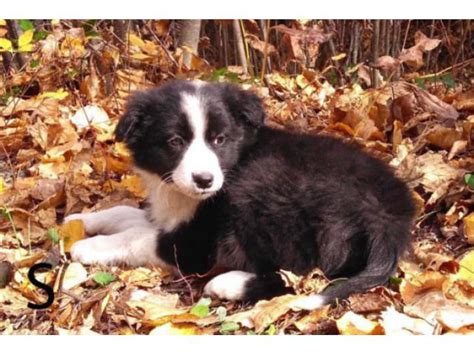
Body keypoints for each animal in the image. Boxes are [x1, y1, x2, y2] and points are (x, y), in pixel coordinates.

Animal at [66, 80, 414, 306]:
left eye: (219, 139)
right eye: (175, 142)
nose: (204, 180)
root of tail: (390, 221)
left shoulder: (197, 244)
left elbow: (137, 237)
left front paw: (89, 247)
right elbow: (126, 213)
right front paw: (78, 220)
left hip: (258, 187)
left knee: (298, 275)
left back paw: (228, 284)